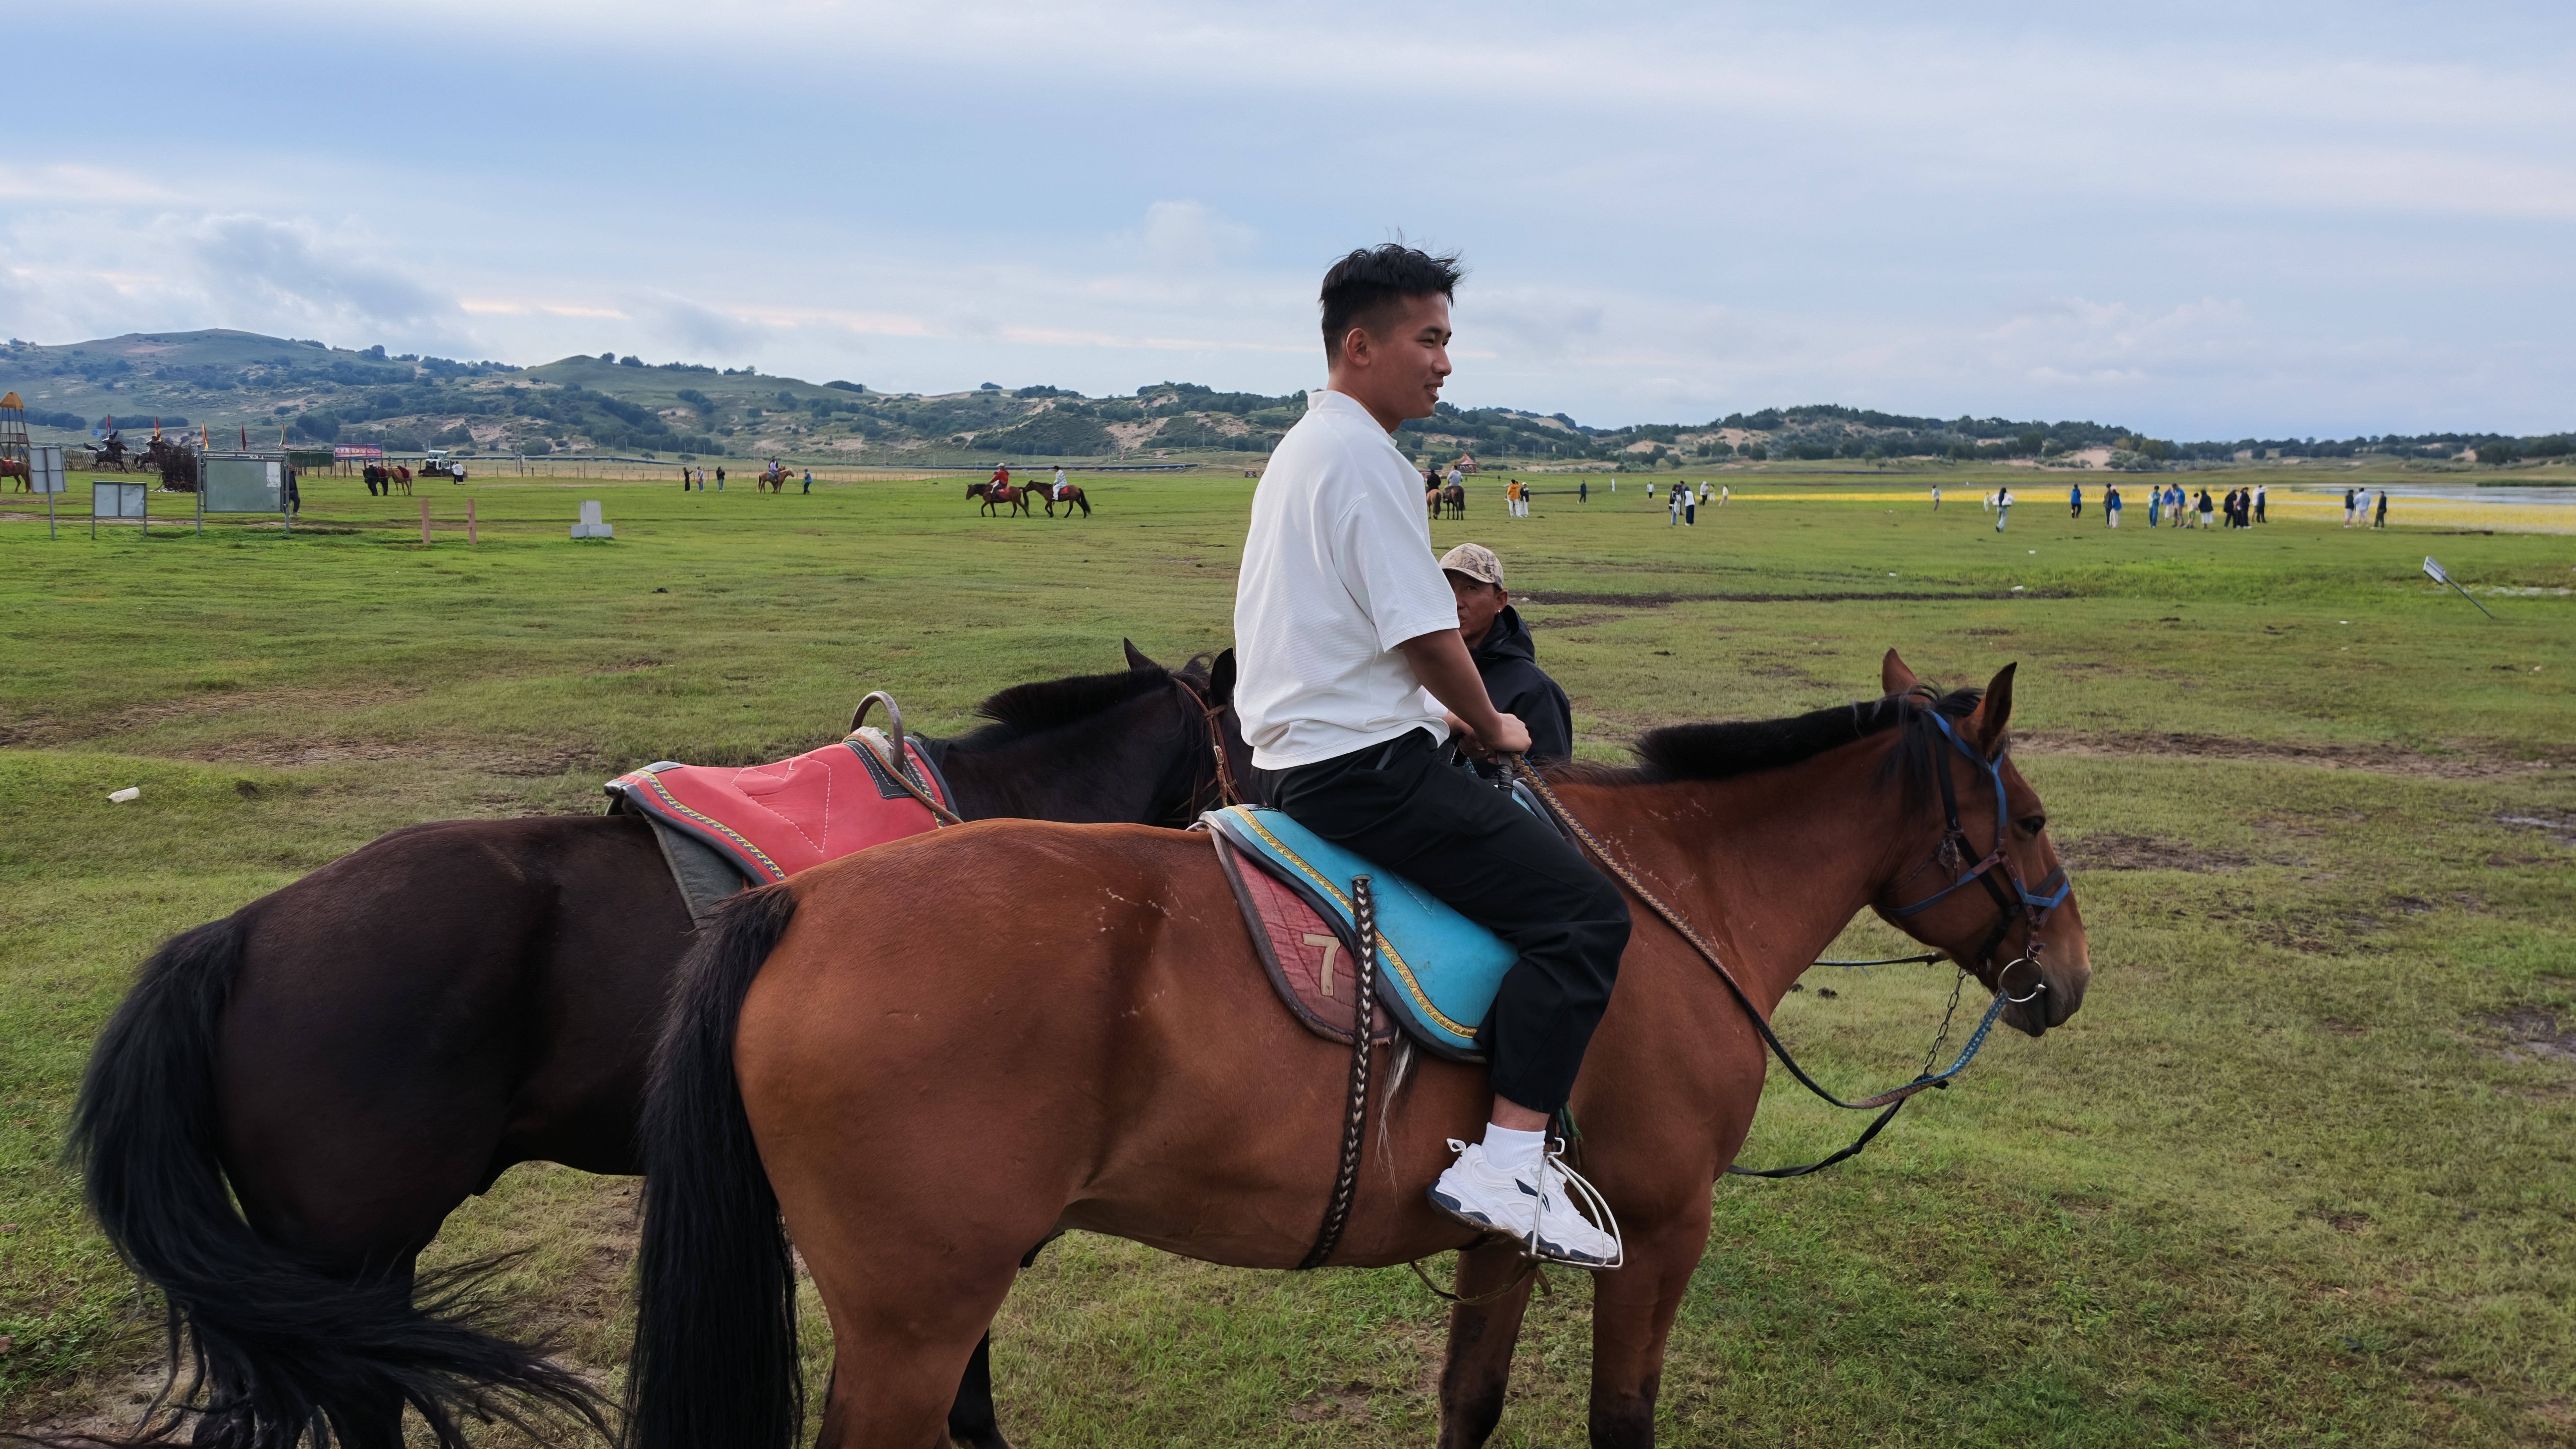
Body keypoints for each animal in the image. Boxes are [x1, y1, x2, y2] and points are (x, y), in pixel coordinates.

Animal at [625, 652, 2091, 1449]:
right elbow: (1621, 1420)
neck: (1685, 891)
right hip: (920, 1320)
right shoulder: (1668, 1225)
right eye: (2026, 819)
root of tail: (802, 904)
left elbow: (1470, 1404)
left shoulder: (1509, 1239)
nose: (2067, 978)